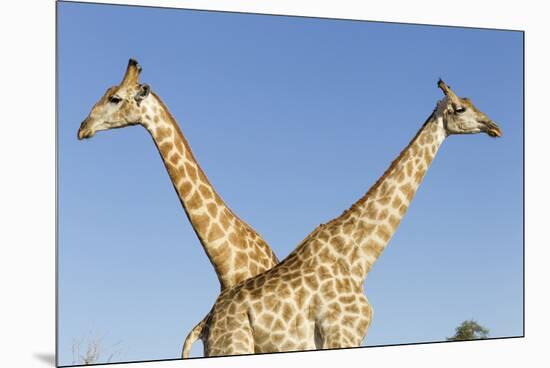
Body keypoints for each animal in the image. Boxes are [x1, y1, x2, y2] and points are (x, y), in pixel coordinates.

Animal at [195, 80, 504, 356]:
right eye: (460, 108)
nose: (494, 127)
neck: (359, 258)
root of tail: (205, 324)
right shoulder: (342, 333)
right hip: (233, 345)